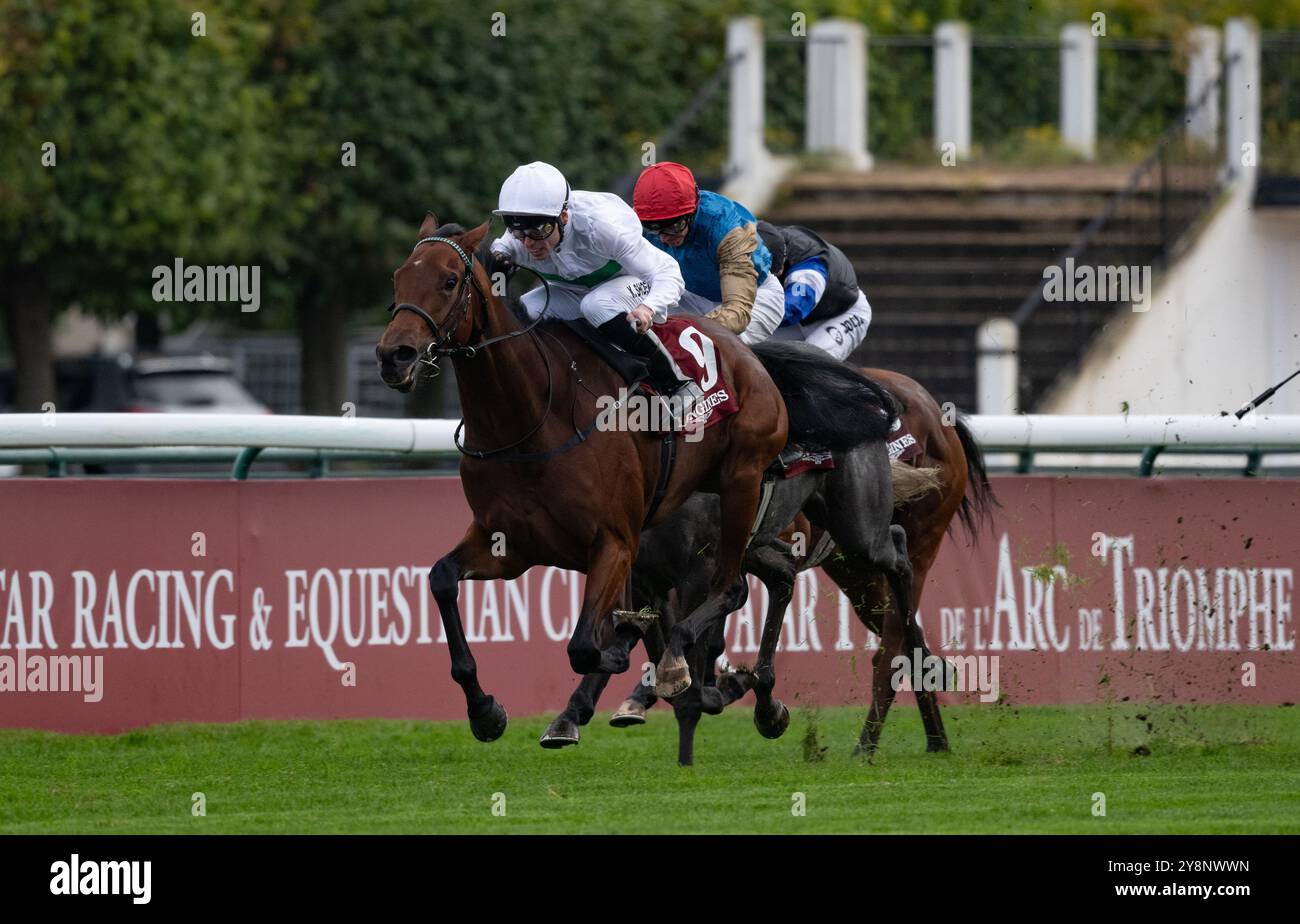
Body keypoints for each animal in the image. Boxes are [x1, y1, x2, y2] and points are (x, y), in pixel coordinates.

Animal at [377, 213, 899, 743]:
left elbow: (591, 644)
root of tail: (755, 359)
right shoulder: (511, 544)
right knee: (780, 577)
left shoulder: (617, 543)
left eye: (449, 280)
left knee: (841, 564)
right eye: (397, 276)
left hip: (783, 499)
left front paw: (648, 672)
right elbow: (442, 579)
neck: (533, 418)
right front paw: (487, 710)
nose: (394, 355)